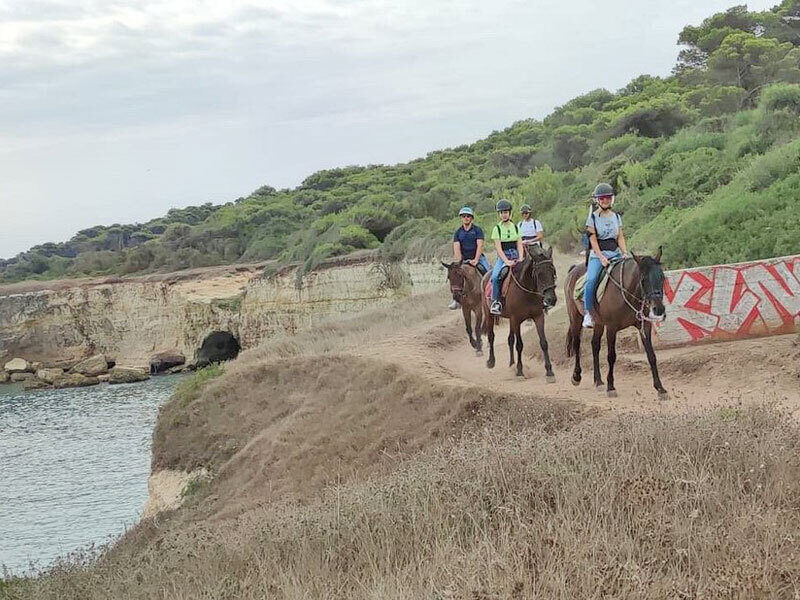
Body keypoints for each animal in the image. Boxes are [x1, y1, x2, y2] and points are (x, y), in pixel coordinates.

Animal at [481, 246, 558, 379]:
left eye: (553, 272)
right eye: (539, 274)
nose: (551, 299)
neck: (527, 291)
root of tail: (486, 275)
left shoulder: (538, 317)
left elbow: (543, 343)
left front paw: (549, 371)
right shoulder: (516, 319)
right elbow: (520, 345)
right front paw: (520, 370)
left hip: (510, 320)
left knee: (510, 339)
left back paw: (511, 364)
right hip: (489, 314)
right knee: (491, 336)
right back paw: (491, 361)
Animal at [564, 248, 668, 400]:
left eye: (662, 277)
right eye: (643, 280)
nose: (659, 309)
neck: (627, 291)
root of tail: (572, 270)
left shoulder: (644, 326)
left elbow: (651, 356)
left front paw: (660, 388)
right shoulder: (611, 328)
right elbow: (611, 356)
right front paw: (611, 387)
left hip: (598, 323)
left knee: (594, 345)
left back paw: (598, 381)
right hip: (575, 318)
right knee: (577, 344)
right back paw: (576, 376)